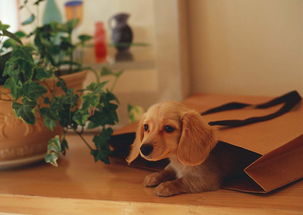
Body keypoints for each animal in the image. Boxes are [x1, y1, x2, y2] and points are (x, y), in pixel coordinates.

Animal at [126, 101, 254, 197]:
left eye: (168, 128)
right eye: (146, 127)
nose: (144, 149)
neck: (178, 161)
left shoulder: (206, 179)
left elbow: (183, 180)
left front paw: (166, 186)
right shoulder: (173, 167)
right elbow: (167, 170)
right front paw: (154, 176)